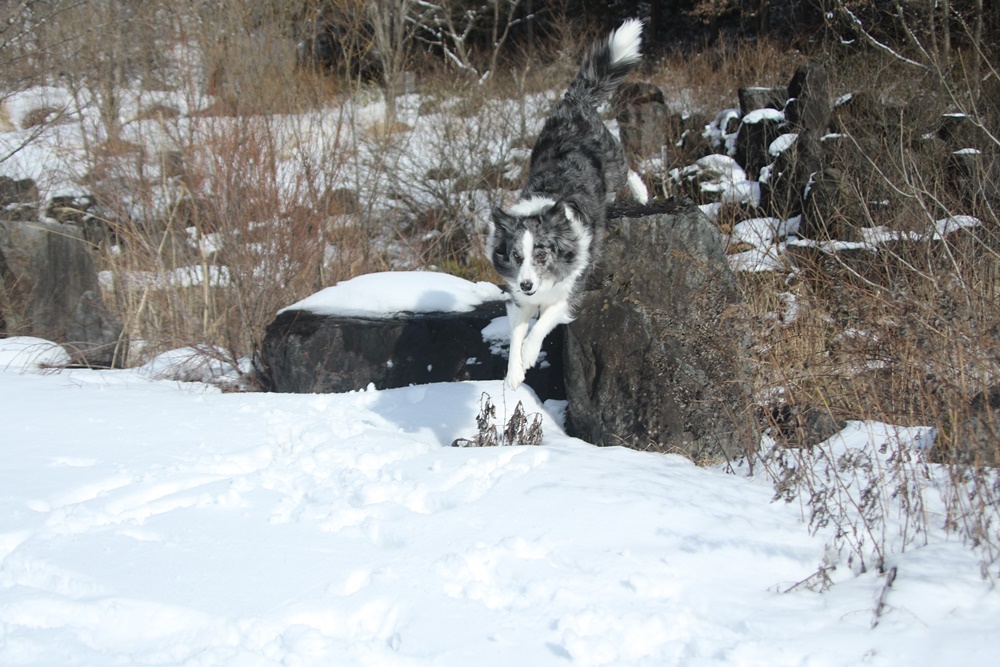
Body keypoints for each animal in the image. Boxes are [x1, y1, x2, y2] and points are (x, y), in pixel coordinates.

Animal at [486, 19, 648, 392]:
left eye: (542, 254)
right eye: (516, 256)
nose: (527, 284)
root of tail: (574, 103)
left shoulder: (571, 291)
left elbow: (544, 322)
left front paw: (530, 354)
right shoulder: (518, 299)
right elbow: (516, 334)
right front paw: (514, 374)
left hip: (611, 160)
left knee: (628, 169)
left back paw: (643, 193)